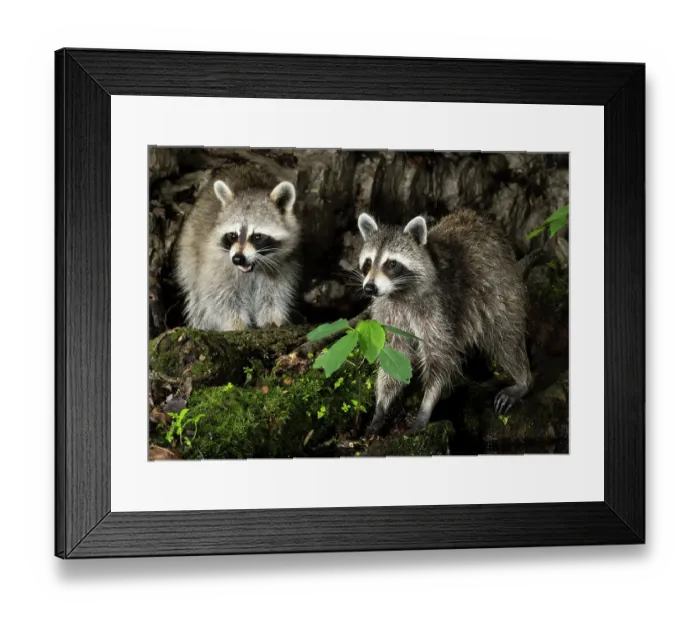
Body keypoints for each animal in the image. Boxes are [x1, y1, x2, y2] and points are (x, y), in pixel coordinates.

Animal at [175, 169, 301, 331]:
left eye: (257, 237)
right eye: (232, 235)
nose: (238, 258)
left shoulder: (283, 266)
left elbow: (274, 293)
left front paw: (272, 318)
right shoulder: (215, 266)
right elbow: (219, 298)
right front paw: (236, 324)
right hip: (189, 254)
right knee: (199, 301)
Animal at [357, 210, 532, 436]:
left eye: (391, 264)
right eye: (368, 262)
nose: (369, 288)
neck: (399, 293)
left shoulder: (437, 308)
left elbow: (440, 356)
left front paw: (426, 406)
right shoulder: (388, 311)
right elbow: (394, 354)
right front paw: (381, 407)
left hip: (501, 290)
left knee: (505, 338)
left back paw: (522, 380)